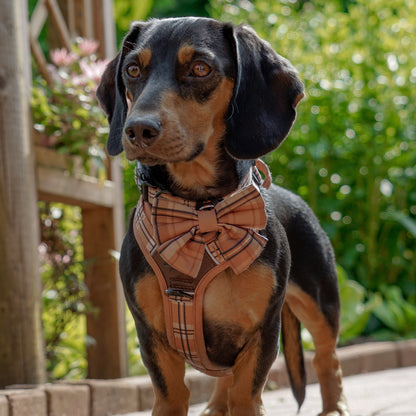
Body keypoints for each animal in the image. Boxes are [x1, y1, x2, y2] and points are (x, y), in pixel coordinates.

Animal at [96, 16, 348, 416]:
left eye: (201, 68)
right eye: (132, 70)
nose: (137, 129)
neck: (201, 213)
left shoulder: (262, 331)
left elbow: (246, 396)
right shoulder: (151, 335)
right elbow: (173, 395)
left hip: (320, 300)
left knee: (327, 356)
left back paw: (334, 405)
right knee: (224, 377)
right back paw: (215, 407)